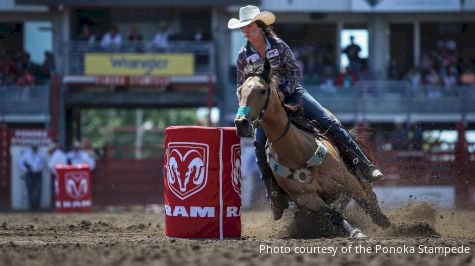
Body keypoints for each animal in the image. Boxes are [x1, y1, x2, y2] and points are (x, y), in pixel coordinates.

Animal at [233, 71, 390, 239]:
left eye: (262, 90)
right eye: (240, 91)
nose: (241, 123)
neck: (295, 151)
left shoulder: (348, 179)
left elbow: (363, 200)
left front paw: (381, 220)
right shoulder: (307, 198)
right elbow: (333, 215)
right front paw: (355, 232)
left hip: (355, 170)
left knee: (368, 192)